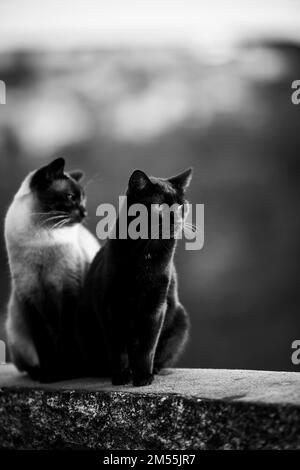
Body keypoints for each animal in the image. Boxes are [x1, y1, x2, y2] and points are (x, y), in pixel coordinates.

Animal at [77, 169, 192, 386]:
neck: (146, 252)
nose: (176, 218)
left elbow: (147, 346)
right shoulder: (110, 306)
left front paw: (144, 376)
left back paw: (155, 369)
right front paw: (122, 376)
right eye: (159, 206)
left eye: (181, 205)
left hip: (180, 320)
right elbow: (118, 347)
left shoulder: (155, 306)